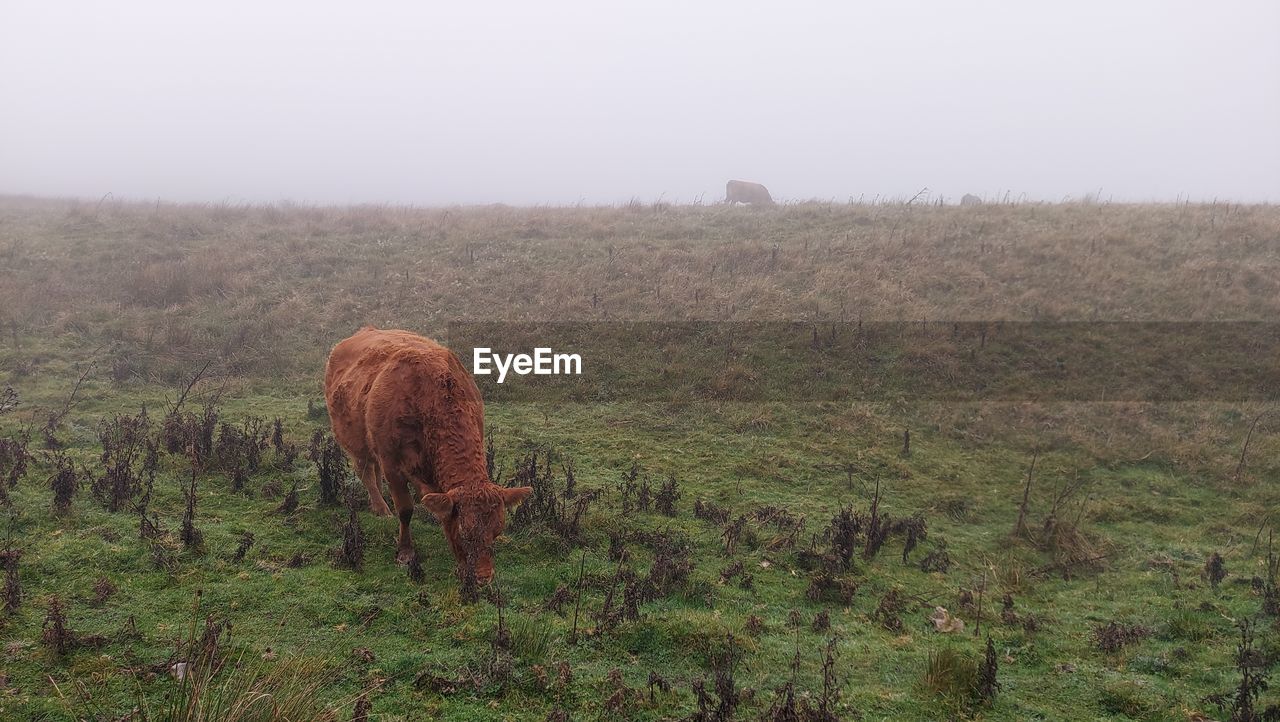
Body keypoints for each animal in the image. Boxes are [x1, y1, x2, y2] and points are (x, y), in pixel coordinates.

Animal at [330, 323, 535, 583]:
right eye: (464, 532)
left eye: (497, 532)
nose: (483, 577)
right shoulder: (392, 466)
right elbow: (405, 510)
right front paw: (405, 552)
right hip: (355, 441)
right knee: (366, 472)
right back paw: (381, 507)